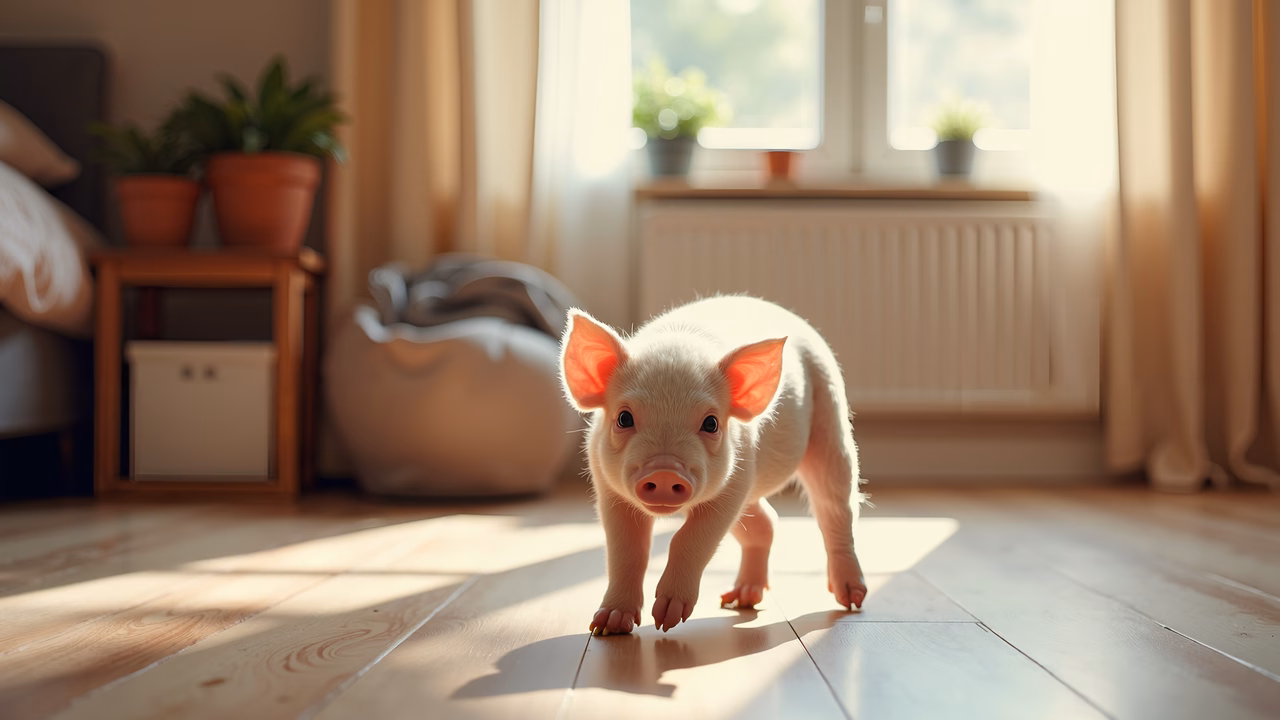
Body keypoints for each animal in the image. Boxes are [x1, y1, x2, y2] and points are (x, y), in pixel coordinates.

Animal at [559, 295, 868, 635]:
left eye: (711, 423)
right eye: (624, 418)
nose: (665, 470)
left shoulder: (735, 481)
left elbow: (691, 539)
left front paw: (666, 621)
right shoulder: (608, 488)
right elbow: (627, 551)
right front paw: (609, 626)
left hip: (831, 421)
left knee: (835, 510)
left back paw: (851, 600)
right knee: (766, 523)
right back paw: (739, 601)